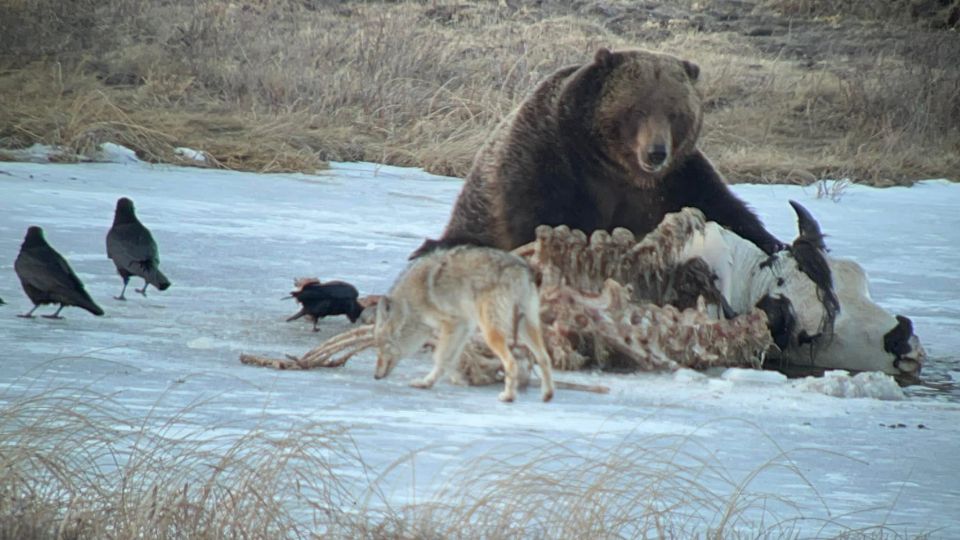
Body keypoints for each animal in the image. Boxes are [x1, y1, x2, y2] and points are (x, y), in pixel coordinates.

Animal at [408, 47, 784, 258]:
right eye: (636, 109)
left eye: (676, 113)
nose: (656, 153)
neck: (615, 167)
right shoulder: (549, 158)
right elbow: (540, 217)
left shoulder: (677, 180)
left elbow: (725, 208)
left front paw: (775, 244)